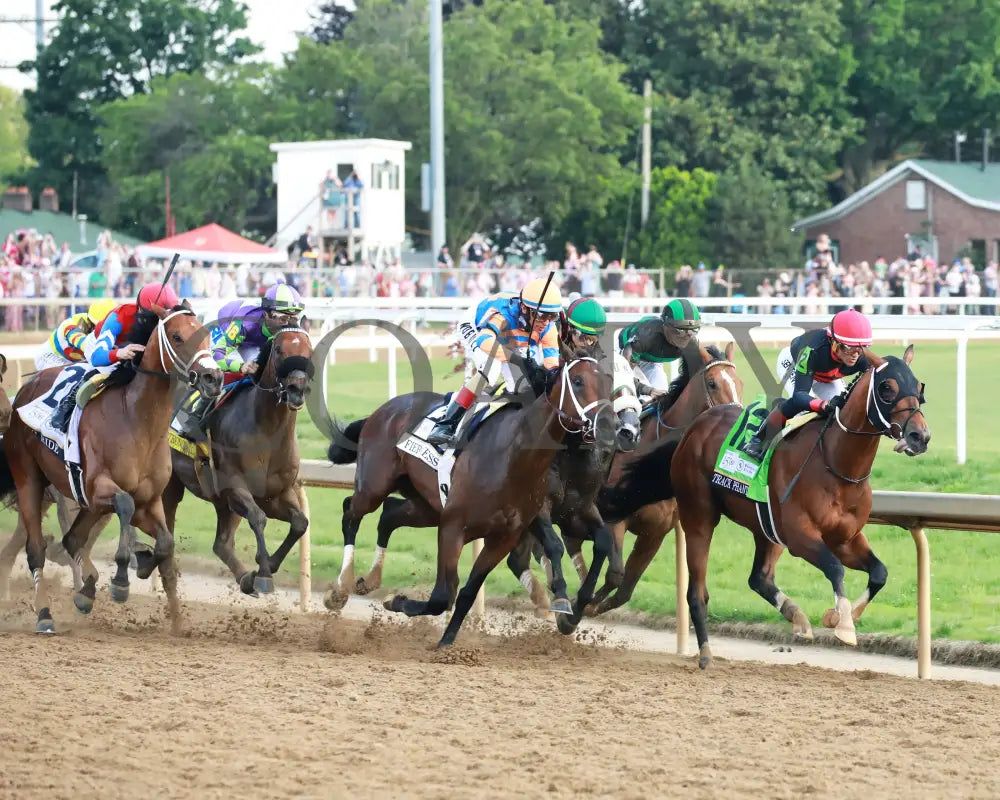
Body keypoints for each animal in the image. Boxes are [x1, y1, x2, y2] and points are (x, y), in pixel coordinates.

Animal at [0, 304, 221, 636]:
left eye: (206, 334)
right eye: (177, 336)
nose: (213, 377)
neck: (137, 420)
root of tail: (25, 390)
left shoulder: (148, 501)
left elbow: (165, 542)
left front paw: (170, 607)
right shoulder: (99, 486)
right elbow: (124, 506)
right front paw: (120, 581)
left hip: (82, 501)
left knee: (72, 539)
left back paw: (86, 592)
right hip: (29, 479)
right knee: (36, 547)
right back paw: (45, 614)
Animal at [162, 324, 314, 592]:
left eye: (309, 349)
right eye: (279, 349)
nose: (296, 390)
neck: (267, 430)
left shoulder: (276, 493)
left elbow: (299, 523)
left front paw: (266, 565)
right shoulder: (235, 486)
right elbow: (258, 518)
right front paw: (263, 573)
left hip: (222, 503)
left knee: (221, 544)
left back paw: (244, 577)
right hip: (171, 483)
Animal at [592, 346, 928, 664]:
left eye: (918, 386)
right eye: (887, 387)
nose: (919, 436)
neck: (836, 464)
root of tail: (692, 430)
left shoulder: (846, 538)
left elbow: (879, 573)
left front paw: (841, 616)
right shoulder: (799, 537)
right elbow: (834, 568)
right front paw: (843, 625)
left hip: (764, 527)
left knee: (759, 578)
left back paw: (797, 617)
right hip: (699, 515)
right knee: (697, 590)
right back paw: (705, 652)